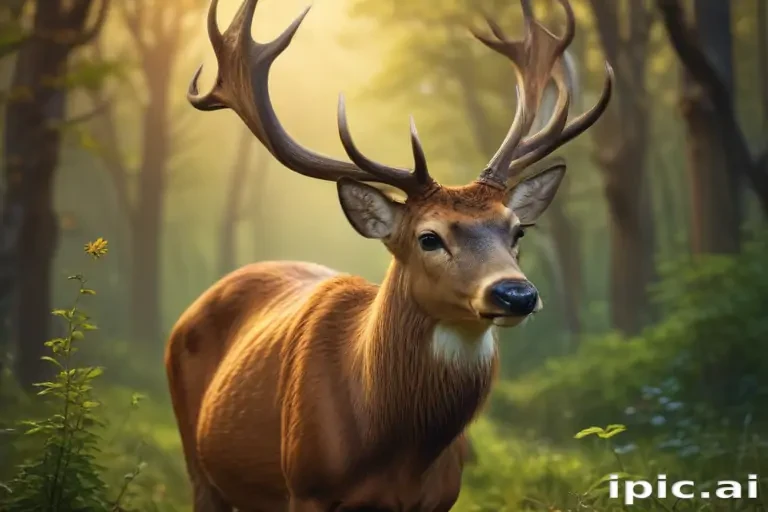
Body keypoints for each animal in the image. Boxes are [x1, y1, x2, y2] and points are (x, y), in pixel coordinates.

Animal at [165, 0, 612, 510]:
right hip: (199, 464)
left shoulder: (444, 495)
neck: (394, 452)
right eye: (429, 237)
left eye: (517, 229)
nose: (516, 293)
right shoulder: (305, 486)